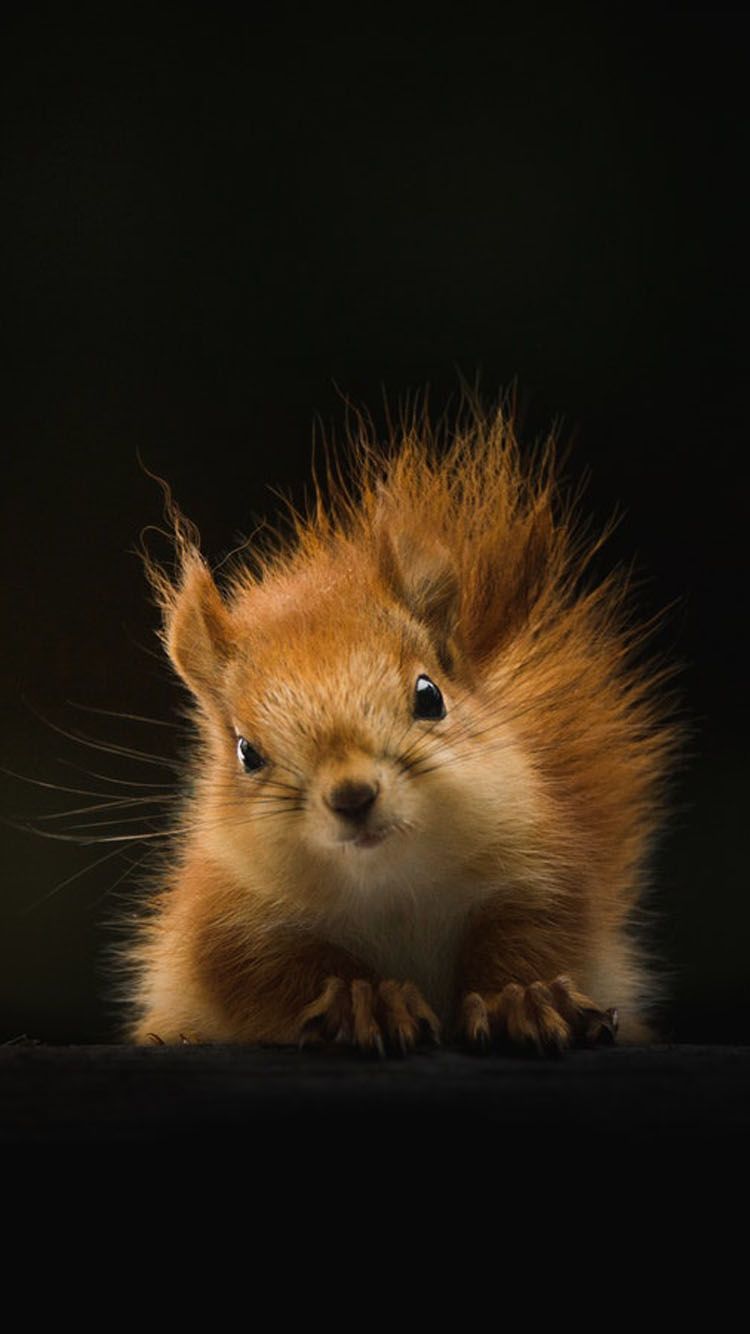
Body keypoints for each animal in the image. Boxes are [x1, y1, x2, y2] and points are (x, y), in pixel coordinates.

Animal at [122, 400, 678, 1053]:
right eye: (246, 753)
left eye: (430, 696)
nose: (352, 795)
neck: (389, 884)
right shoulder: (228, 923)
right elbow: (278, 974)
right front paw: (366, 1001)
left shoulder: (541, 867)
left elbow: (533, 937)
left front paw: (524, 997)